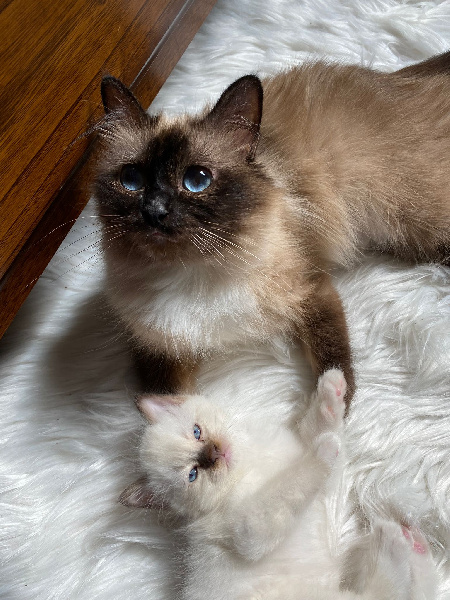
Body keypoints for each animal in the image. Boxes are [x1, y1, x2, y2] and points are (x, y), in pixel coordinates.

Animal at [120, 370, 436, 600]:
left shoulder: (318, 483)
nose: (215, 453)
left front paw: (330, 392)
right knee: (385, 593)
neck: (251, 462)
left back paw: (415, 546)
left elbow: (318, 432)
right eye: (193, 474)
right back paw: (392, 542)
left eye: (197, 432)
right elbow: (298, 478)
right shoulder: (251, 529)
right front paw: (324, 448)